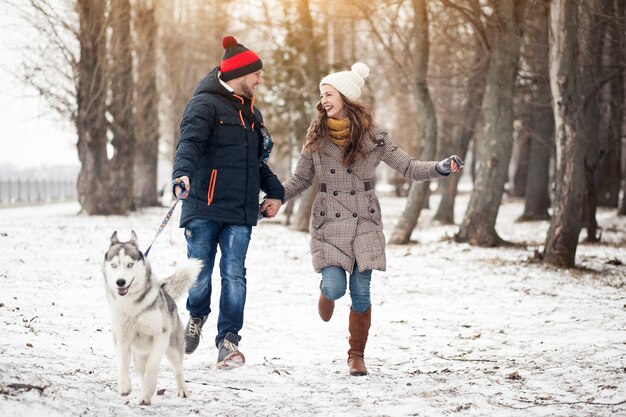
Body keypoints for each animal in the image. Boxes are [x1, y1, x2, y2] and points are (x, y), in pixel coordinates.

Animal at [101, 229, 201, 404]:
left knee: (177, 370)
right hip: (139, 355)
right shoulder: (121, 338)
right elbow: (122, 364)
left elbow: (153, 366)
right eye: (114, 265)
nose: (120, 282)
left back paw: (181, 390)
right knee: (141, 369)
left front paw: (149, 387)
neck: (132, 306)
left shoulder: (161, 336)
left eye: (130, 265)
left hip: (173, 349)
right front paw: (125, 386)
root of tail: (166, 293)